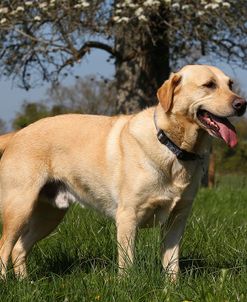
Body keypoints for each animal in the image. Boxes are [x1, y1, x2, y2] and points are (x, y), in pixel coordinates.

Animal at [0, 64, 245, 280]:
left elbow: (172, 264)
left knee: (19, 248)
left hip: (50, 213)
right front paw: (127, 285)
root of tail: (17, 133)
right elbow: (127, 264)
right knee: (4, 248)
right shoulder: (128, 216)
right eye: (209, 85)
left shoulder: (177, 219)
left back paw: (25, 283)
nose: (242, 104)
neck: (173, 148)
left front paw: (172, 289)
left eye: (230, 84)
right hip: (20, 207)